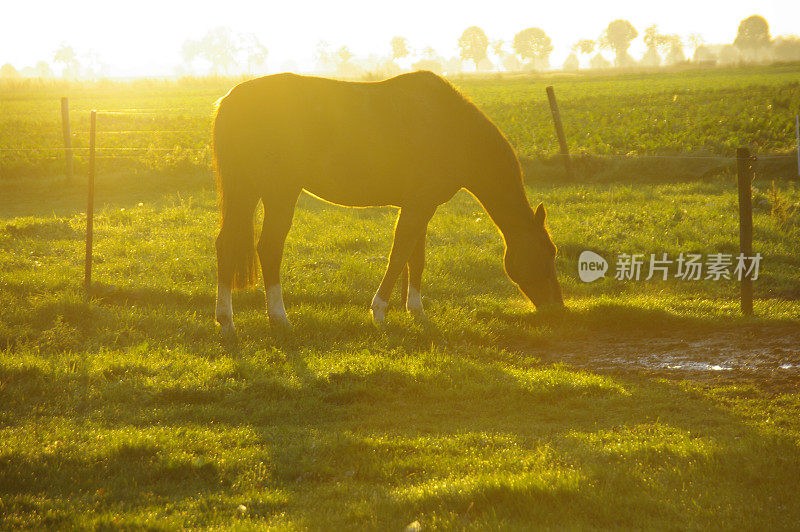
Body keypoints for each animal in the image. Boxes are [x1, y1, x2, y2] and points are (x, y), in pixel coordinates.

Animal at [212, 70, 564, 332]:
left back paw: (227, 320)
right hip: (278, 193)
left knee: (227, 245)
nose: (557, 309)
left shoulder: (421, 206)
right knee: (269, 248)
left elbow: (415, 258)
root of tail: (231, 98)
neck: (452, 127)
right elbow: (398, 256)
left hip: (247, 191)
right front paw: (379, 311)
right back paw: (279, 318)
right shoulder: (417, 207)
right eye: (549, 252)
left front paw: (416, 310)